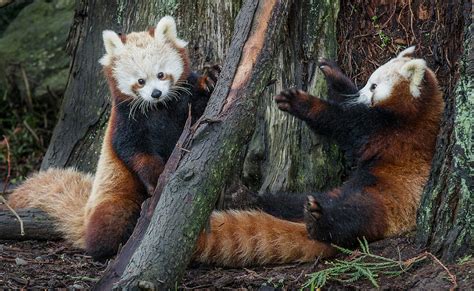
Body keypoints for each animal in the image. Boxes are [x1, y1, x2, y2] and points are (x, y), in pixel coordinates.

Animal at [8, 16, 218, 262]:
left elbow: (200, 103)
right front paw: (157, 176)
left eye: (161, 75)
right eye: (140, 81)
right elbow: (135, 152)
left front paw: (210, 78)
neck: (158, 109)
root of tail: (85, 217)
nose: (156, 93)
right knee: (112, 220)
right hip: (114, 195)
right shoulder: (125, 123)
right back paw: (110, 249)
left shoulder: (183, 103)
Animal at [192, 47, 444, 266]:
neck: (418, 112)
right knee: (287, 203)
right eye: (367, 83)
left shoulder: (387, 131)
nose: (361, 93)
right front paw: (332, 72)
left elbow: (339, 121)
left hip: (384, 203)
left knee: (351, 218)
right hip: (327, 194)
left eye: (373, 86)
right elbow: (344, 102)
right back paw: (247, 199)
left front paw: (300, 102)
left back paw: (318, 221)